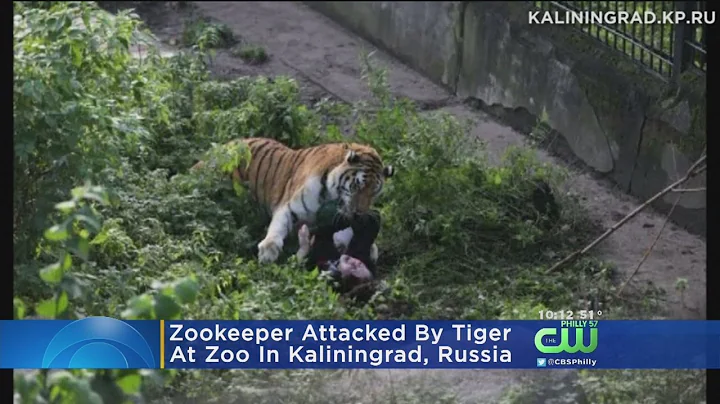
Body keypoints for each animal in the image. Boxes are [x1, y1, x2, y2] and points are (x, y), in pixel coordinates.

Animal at [192, 137, 394, 264]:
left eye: (373, 192)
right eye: (358, 186)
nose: (359, 214)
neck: (332, 196)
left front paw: (370, 248)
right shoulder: (289, 207)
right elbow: (278, 226)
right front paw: (268, 250)